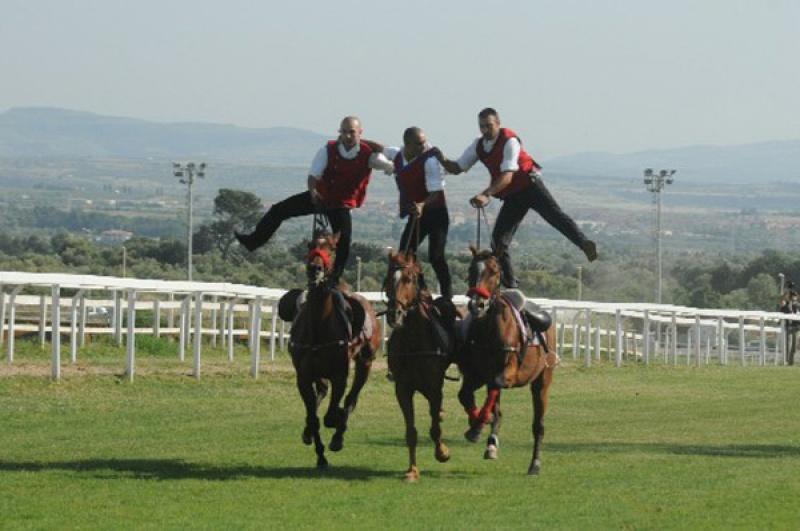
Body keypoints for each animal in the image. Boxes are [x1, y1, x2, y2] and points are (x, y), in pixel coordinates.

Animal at [284, 233, 382, 470]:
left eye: (332, 247)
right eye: (310, 245)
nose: (315, 268)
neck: (319, 326)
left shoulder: (340, 375)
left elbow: (332, 414)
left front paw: (335, 428)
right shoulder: (304, 376)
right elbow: (313, 417)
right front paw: (319, 454)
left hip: (365, 362)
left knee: (351, 399)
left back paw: (338, 434)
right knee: (321, 393)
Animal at [382, 249, 456, 482]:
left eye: (408, 279)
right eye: (389, 279)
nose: (394, 314)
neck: (414, 342)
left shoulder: (434, 386)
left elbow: (435, 429)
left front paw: (442, 452)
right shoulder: (403, 389)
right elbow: (411, 431)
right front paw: (412, 470)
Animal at [456, 247, 556, 476]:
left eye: (494, 271)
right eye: (471, 269)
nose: (477, 304)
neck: (489, 331)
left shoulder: (508, 373)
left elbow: (496, 387)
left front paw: (478, 426)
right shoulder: (477, 375)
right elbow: (465, 394)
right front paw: (477, 426)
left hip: (542, 382)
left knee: (538, 425)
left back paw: (534, 464)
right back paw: (490, 440)